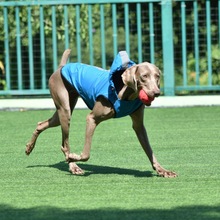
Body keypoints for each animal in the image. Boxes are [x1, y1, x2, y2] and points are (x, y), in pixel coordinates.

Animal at [25, 49, 177, 178]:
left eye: (157, 76)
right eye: (144, 76)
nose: (156, 92)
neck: (125, 94)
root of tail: (61, 67)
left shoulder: (139, 125)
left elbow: (149, 150)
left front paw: (162, 170)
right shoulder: (91, 118)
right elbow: (86, 154)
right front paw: (74, 157)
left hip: (64, 107)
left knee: (42, 124)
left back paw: (29, 147)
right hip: (64, 108)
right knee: (65, 144)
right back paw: (73, 166)